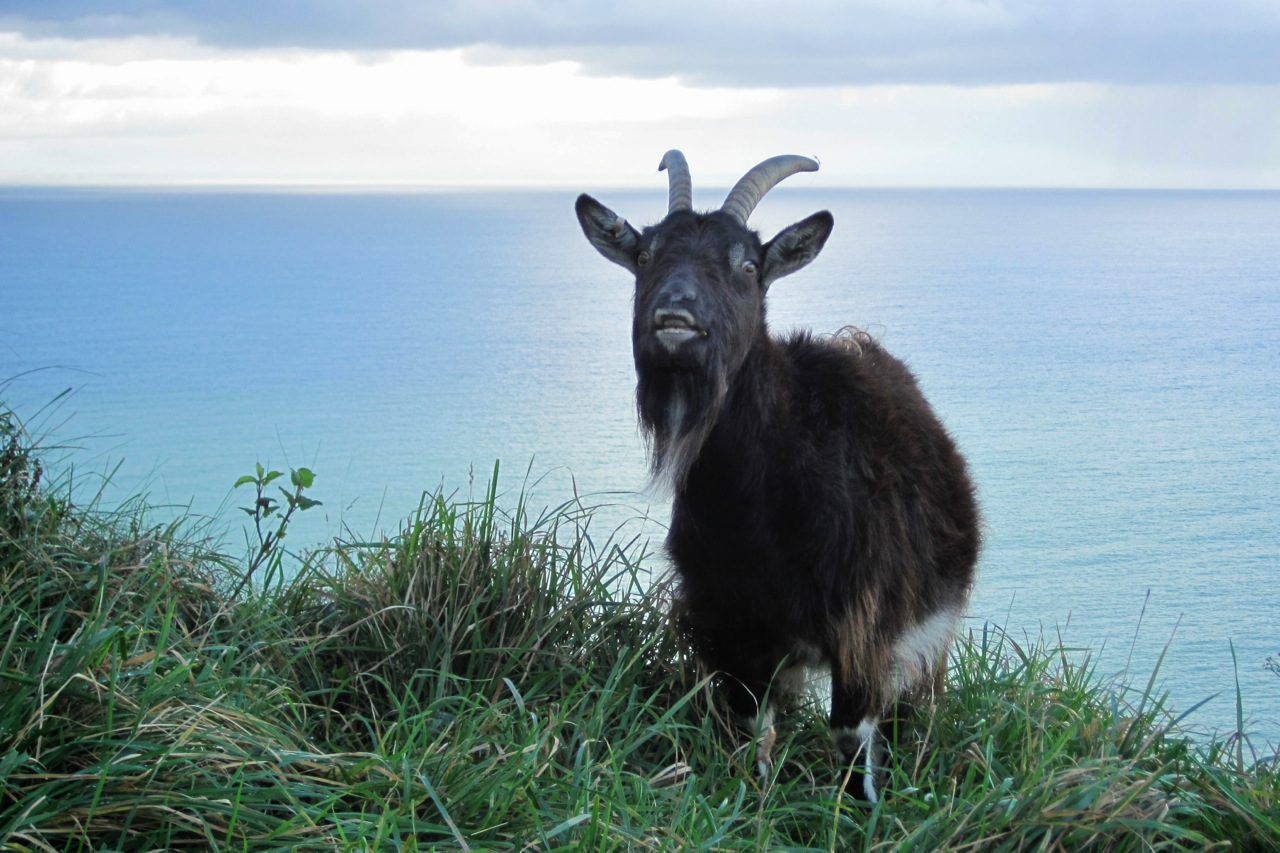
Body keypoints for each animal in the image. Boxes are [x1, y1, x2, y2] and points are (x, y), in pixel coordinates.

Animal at [576, 151, 983, 799]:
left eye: (746, 264)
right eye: (645, 256)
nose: (675, 313)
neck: (760, 499)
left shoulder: (861, 624)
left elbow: (850, 733)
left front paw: (858, 809)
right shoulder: (729, 623)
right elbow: (750, 730)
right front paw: (753, 802)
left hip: (927, 627)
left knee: (911, 701)